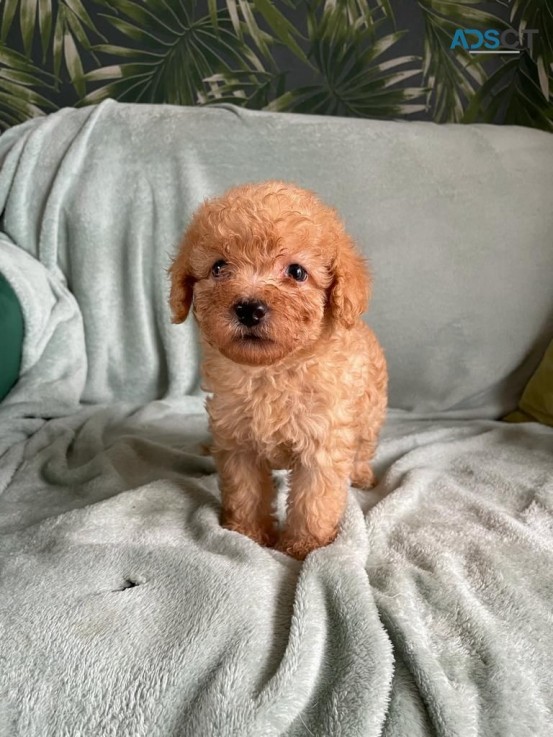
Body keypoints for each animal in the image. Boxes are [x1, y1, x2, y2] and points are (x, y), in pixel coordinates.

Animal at [170, 180, 386, 556]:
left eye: (296, 272)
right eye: (218, 267)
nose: (249, 308)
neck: (271, 371)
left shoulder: (323, 441)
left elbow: (315, 500)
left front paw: (305, 546)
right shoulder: (237, 440)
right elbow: (245, 491)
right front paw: (248, 534)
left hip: (370, 414)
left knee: (363, 447)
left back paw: (360, 474)